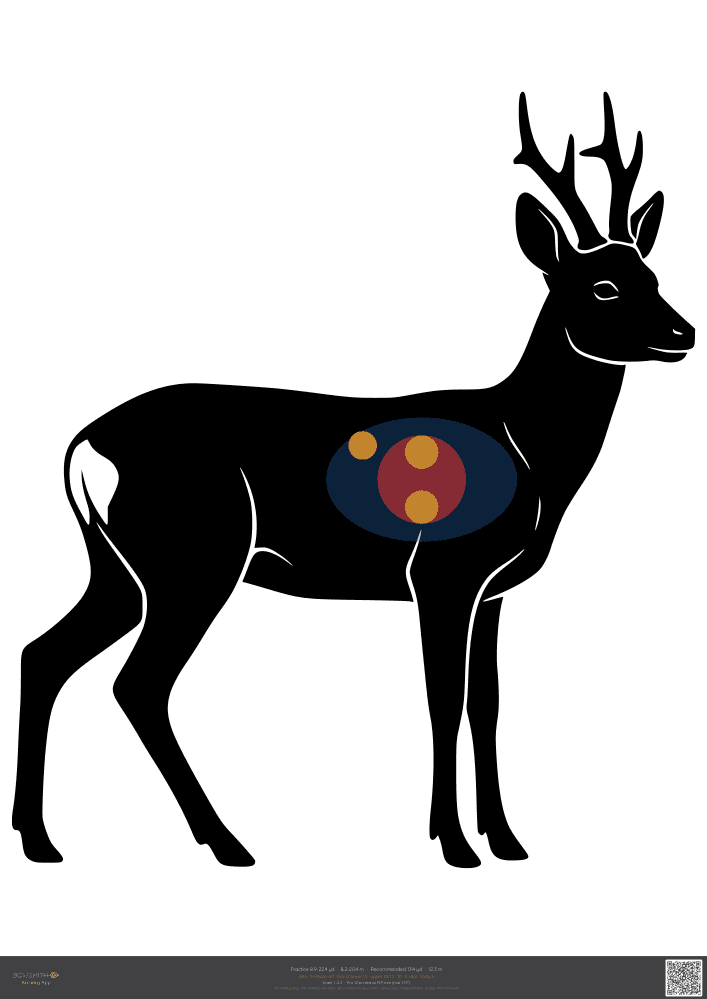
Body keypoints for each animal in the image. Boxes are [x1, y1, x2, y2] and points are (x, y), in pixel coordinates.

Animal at [13, 94, 694, 868]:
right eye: (602, 286)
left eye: (653, 276)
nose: (682, 333)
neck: (526, 446)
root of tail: (83, 446)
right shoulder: (442, 572)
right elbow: (442, 699)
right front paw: (452, 843)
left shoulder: (493, 589)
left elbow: (488, 702)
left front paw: (507, 839)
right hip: (196, 556)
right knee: (138, 684)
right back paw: (228, 841)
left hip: (119, 566)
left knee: (44, 654)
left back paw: (41, 838)